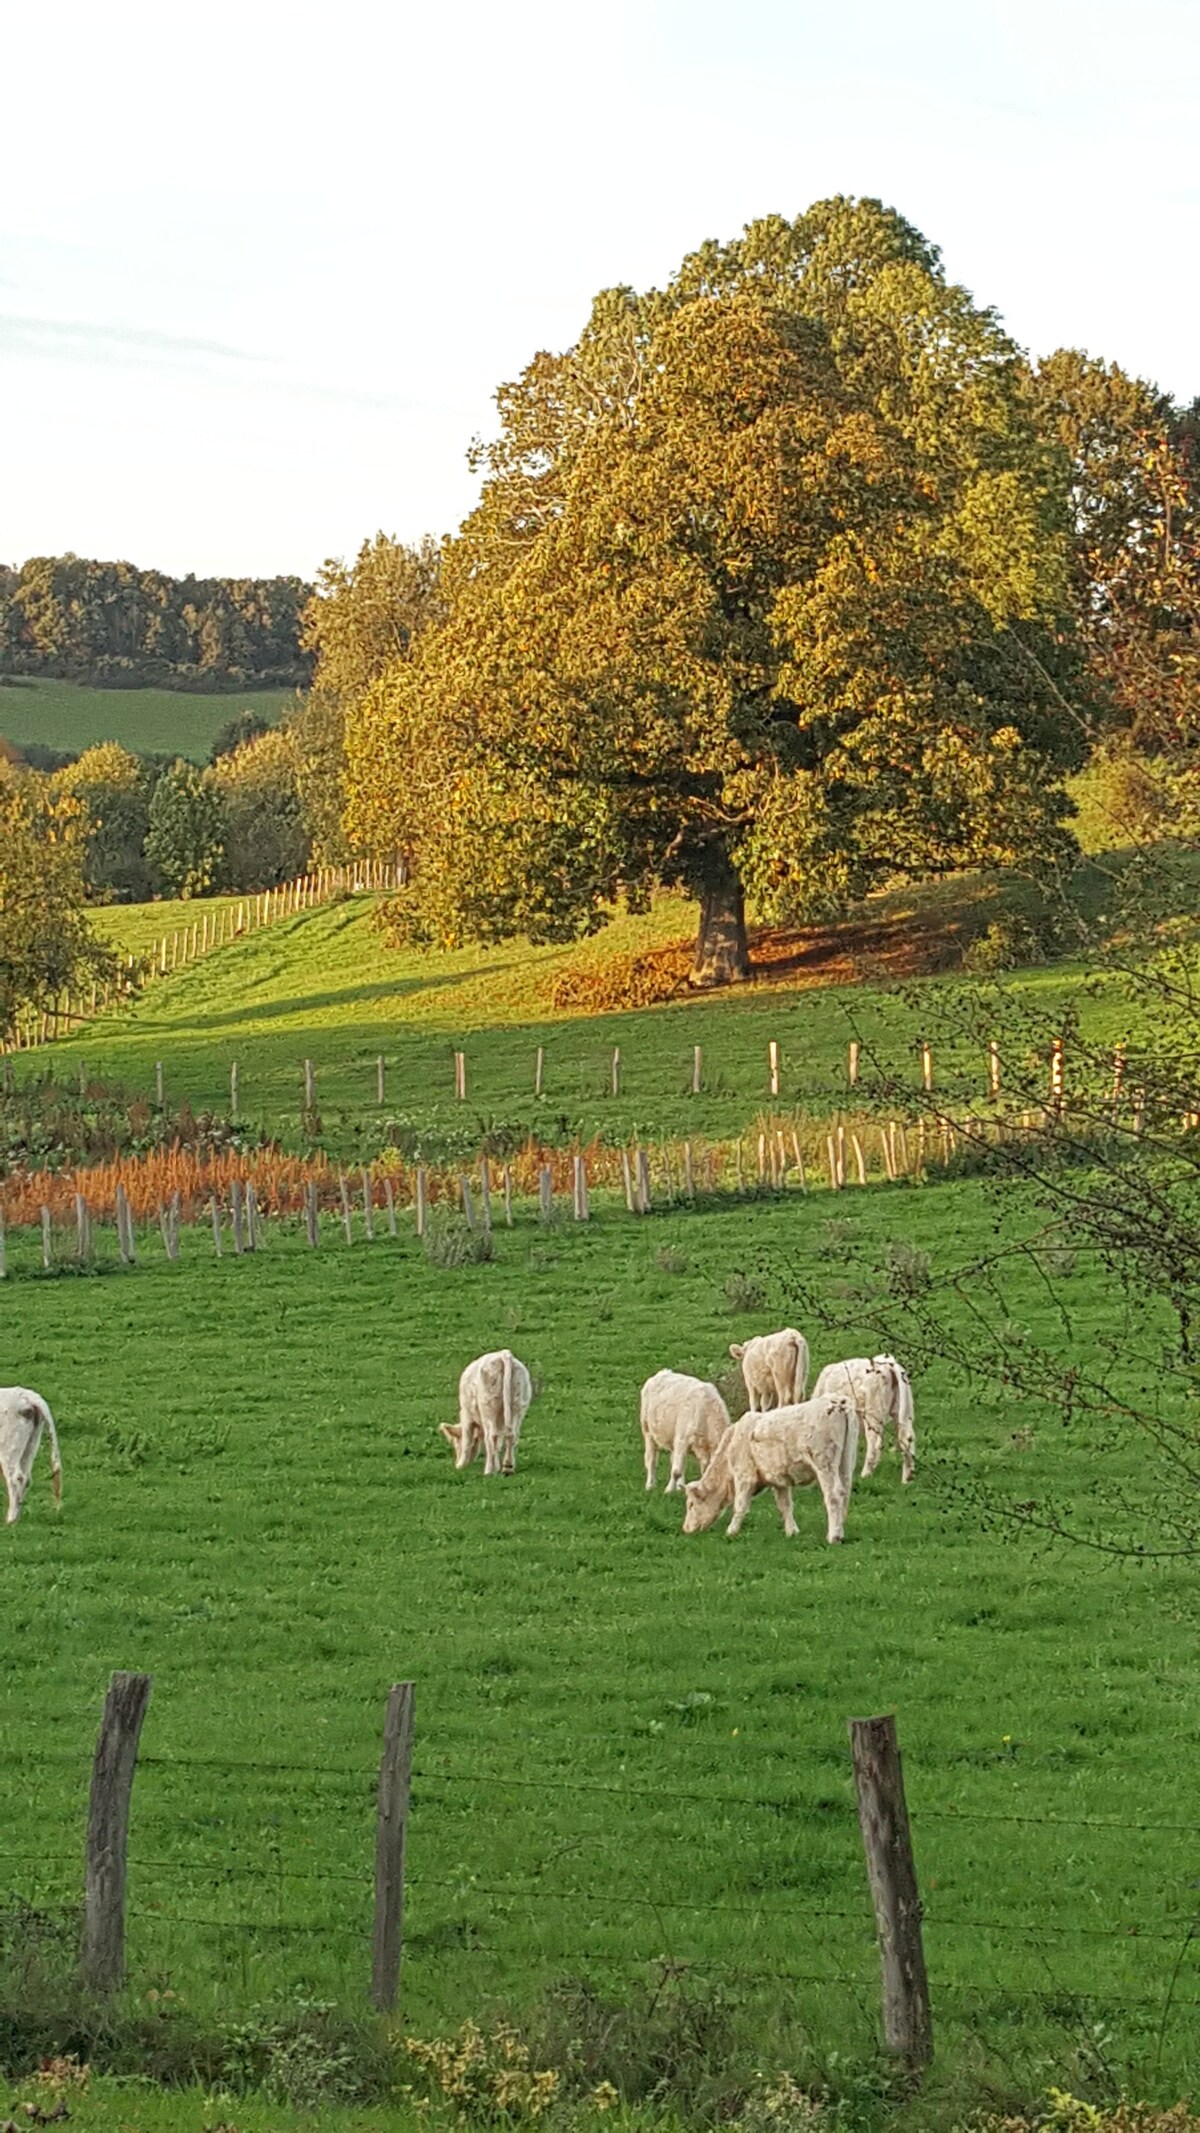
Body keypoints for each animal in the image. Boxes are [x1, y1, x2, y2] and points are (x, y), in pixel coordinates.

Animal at [1, 1390, 62, 1527]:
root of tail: (29, 1396)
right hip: (31, 1443)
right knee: (26, 1478)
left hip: (9, 1444)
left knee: (16, 1478)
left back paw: (10, 1520)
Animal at [682, 1390, 861, 1544]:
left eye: (690, 1504)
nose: (686, 1529)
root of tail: (838, 1401)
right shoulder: (779, 1480)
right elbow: (785, 1506)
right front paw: (792, 1532)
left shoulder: (744, 1476)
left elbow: (740, 1505)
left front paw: (731, 1531)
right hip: (847, 1461)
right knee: (844, 1491)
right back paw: (840, 1532)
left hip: (824, 1462)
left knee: (833, 1495)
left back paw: (833, 1536)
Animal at [814, 1356, 916, 1493]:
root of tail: (888, 1363)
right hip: (904, 1412)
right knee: (907, 1440)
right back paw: (907, 1479)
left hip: (873, 1413)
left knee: (874, 1444)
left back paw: (865, 1475)